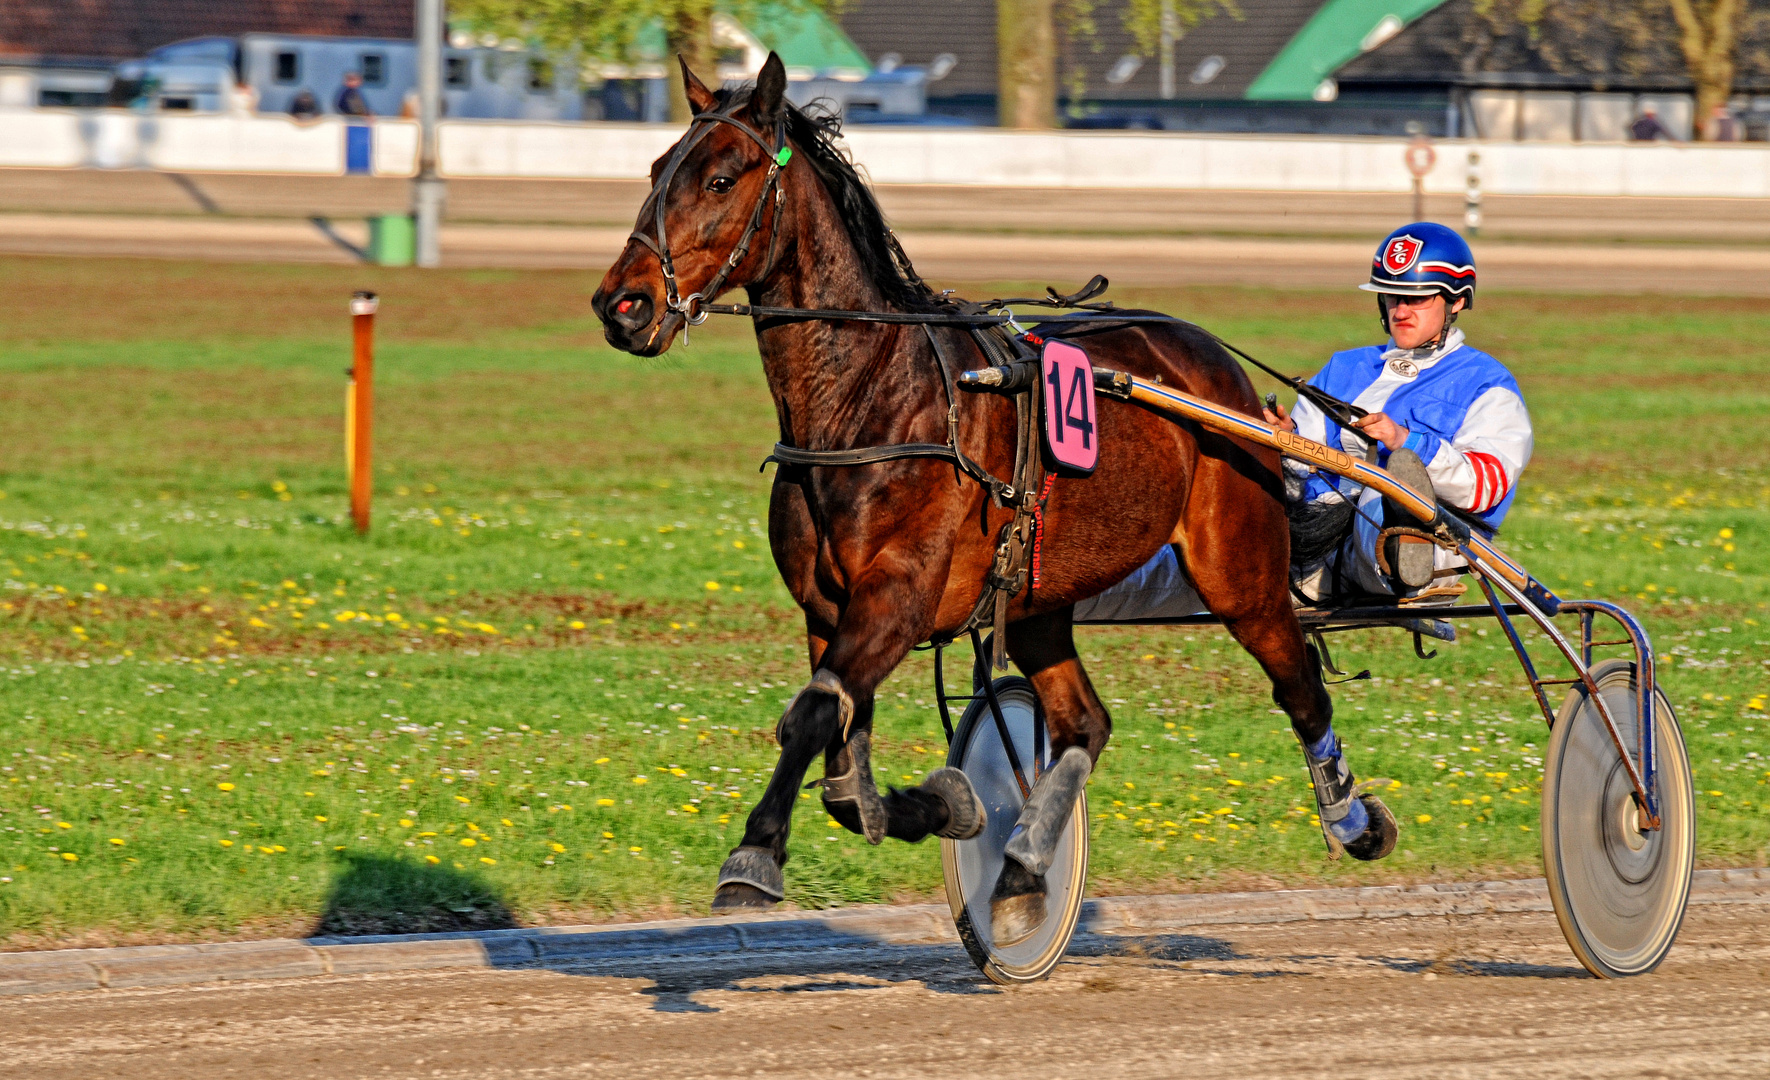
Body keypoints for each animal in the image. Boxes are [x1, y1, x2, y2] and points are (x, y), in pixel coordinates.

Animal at [594, 52, 1380, 941]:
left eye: (722, 178)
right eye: (657, 169)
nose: (622, 304)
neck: (868, 400)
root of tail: (1214, 363)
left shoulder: (898, 595)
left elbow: (813, 716)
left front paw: (754, 856)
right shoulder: (829, 611)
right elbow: (842, 768)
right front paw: (947, 804)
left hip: (1239, 571)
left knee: (1300, 687)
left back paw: (1354, 820)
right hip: (1039, 599)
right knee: (1083, 723)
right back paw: (1024, 865)